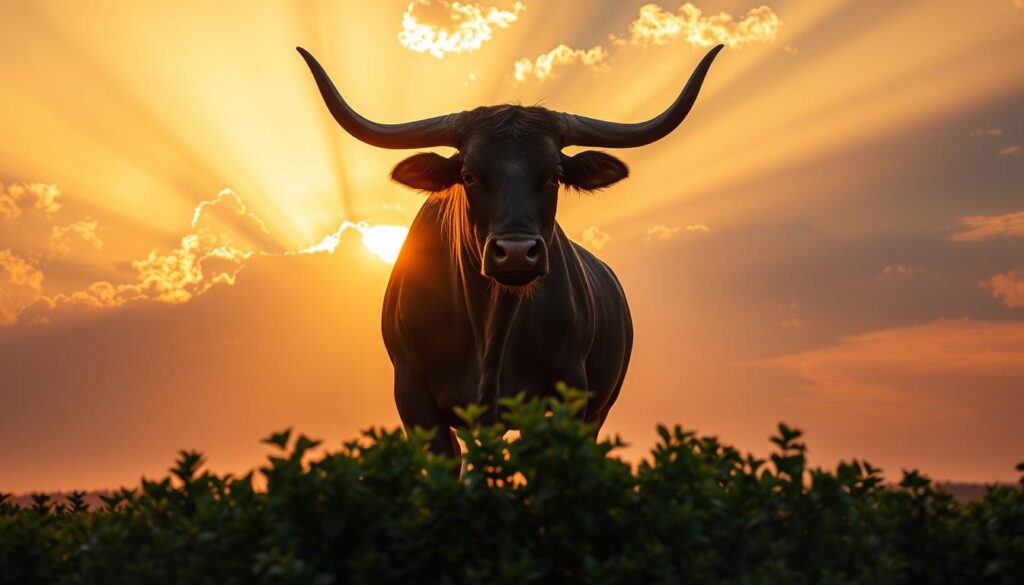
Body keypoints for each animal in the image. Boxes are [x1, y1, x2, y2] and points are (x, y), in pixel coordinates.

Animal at [297, 45, 722, 457]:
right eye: (468, 175)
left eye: (555, 175)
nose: (516, 252)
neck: (490, 330)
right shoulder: (414, 396)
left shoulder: (569, 392)